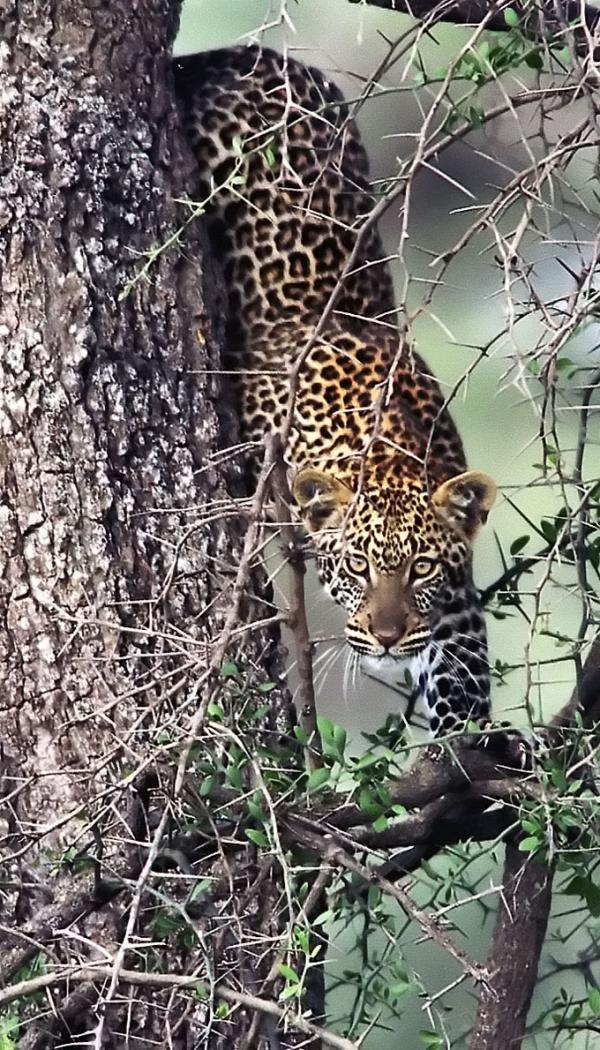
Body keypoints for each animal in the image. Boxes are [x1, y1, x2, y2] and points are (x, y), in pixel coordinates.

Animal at [174, 45, 498, 738]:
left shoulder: (455, 595)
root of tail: (236, 51)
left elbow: (462, 662)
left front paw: (474, 737)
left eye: (421, 568)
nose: (387, 637)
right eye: (356, 569)